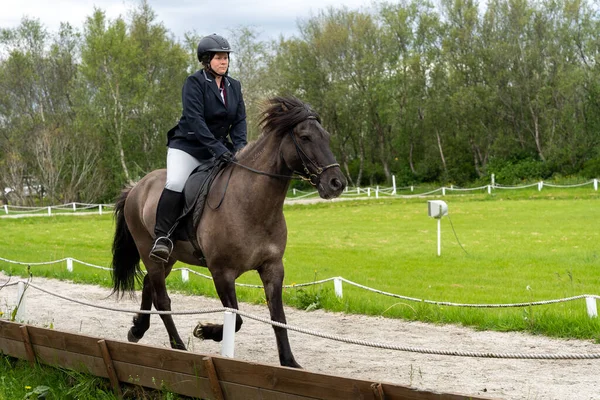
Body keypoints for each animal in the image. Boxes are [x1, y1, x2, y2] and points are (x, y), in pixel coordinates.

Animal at [109, 96, 346, 366]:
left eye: (326, 136)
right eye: (305, 137)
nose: (336, 184)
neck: (253, 205)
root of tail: (136, 187)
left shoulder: (273, 267)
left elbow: (278, 318)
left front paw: (289, 363)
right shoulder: (222, 272)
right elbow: (237, 318)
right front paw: (206, 331)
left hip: (168, 258)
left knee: (149, 284)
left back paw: (137, 330)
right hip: (150, 252)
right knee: (162, 299)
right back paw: (179, 347)